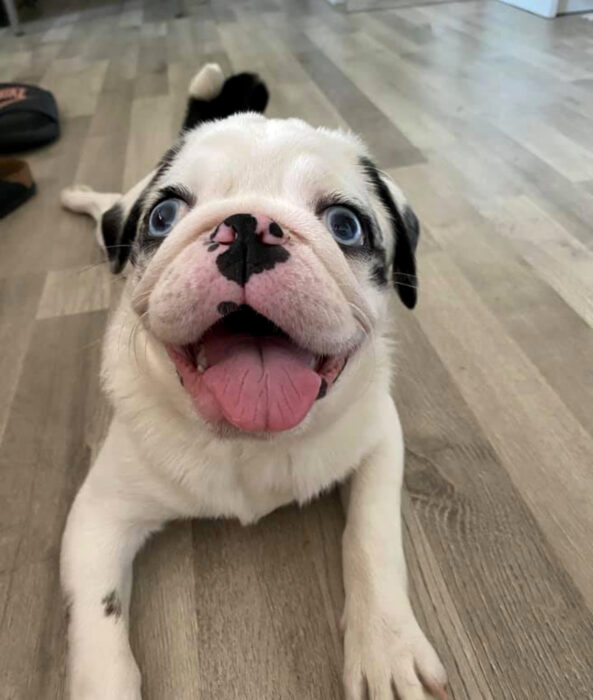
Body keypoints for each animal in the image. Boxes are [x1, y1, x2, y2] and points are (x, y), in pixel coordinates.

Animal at [61, 65, 448, 700]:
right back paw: (79, 196)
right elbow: (100, 629)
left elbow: (372, 536)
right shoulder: (98, 520)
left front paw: (385, 645)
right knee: (106, 209)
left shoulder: (378, 439)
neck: (248, 444)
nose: (247, 227)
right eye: (164, 217)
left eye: (345, 225)